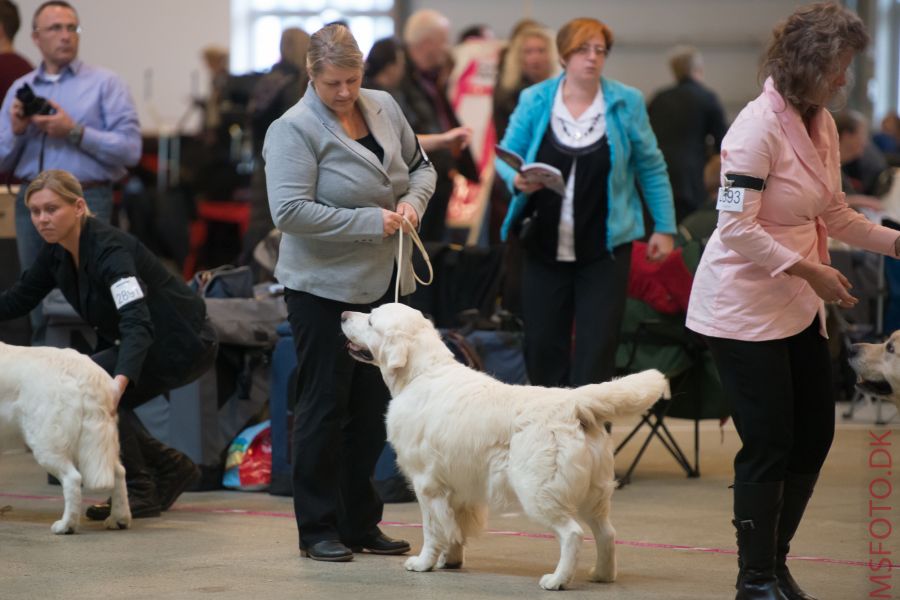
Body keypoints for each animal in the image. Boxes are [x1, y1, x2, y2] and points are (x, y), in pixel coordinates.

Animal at [0, 342, 132, 536]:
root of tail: (87, 372)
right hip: (97, 443)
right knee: (119, 473)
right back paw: (119, 519)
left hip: (47, 442)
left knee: (72, 479)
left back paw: (66, 525)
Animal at [342, 304, 672, 592]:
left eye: (370, 320)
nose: (344, 314)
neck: (420, 374)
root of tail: (572, 402)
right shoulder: (459, 485)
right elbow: (455, 528)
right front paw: (451, 560)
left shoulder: (427, 484)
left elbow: (433, 529)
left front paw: (423, 563)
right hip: (595, 494)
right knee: (607, 534)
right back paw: (602, 575)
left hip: (538, 490)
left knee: (573, 534)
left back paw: (557, 580)